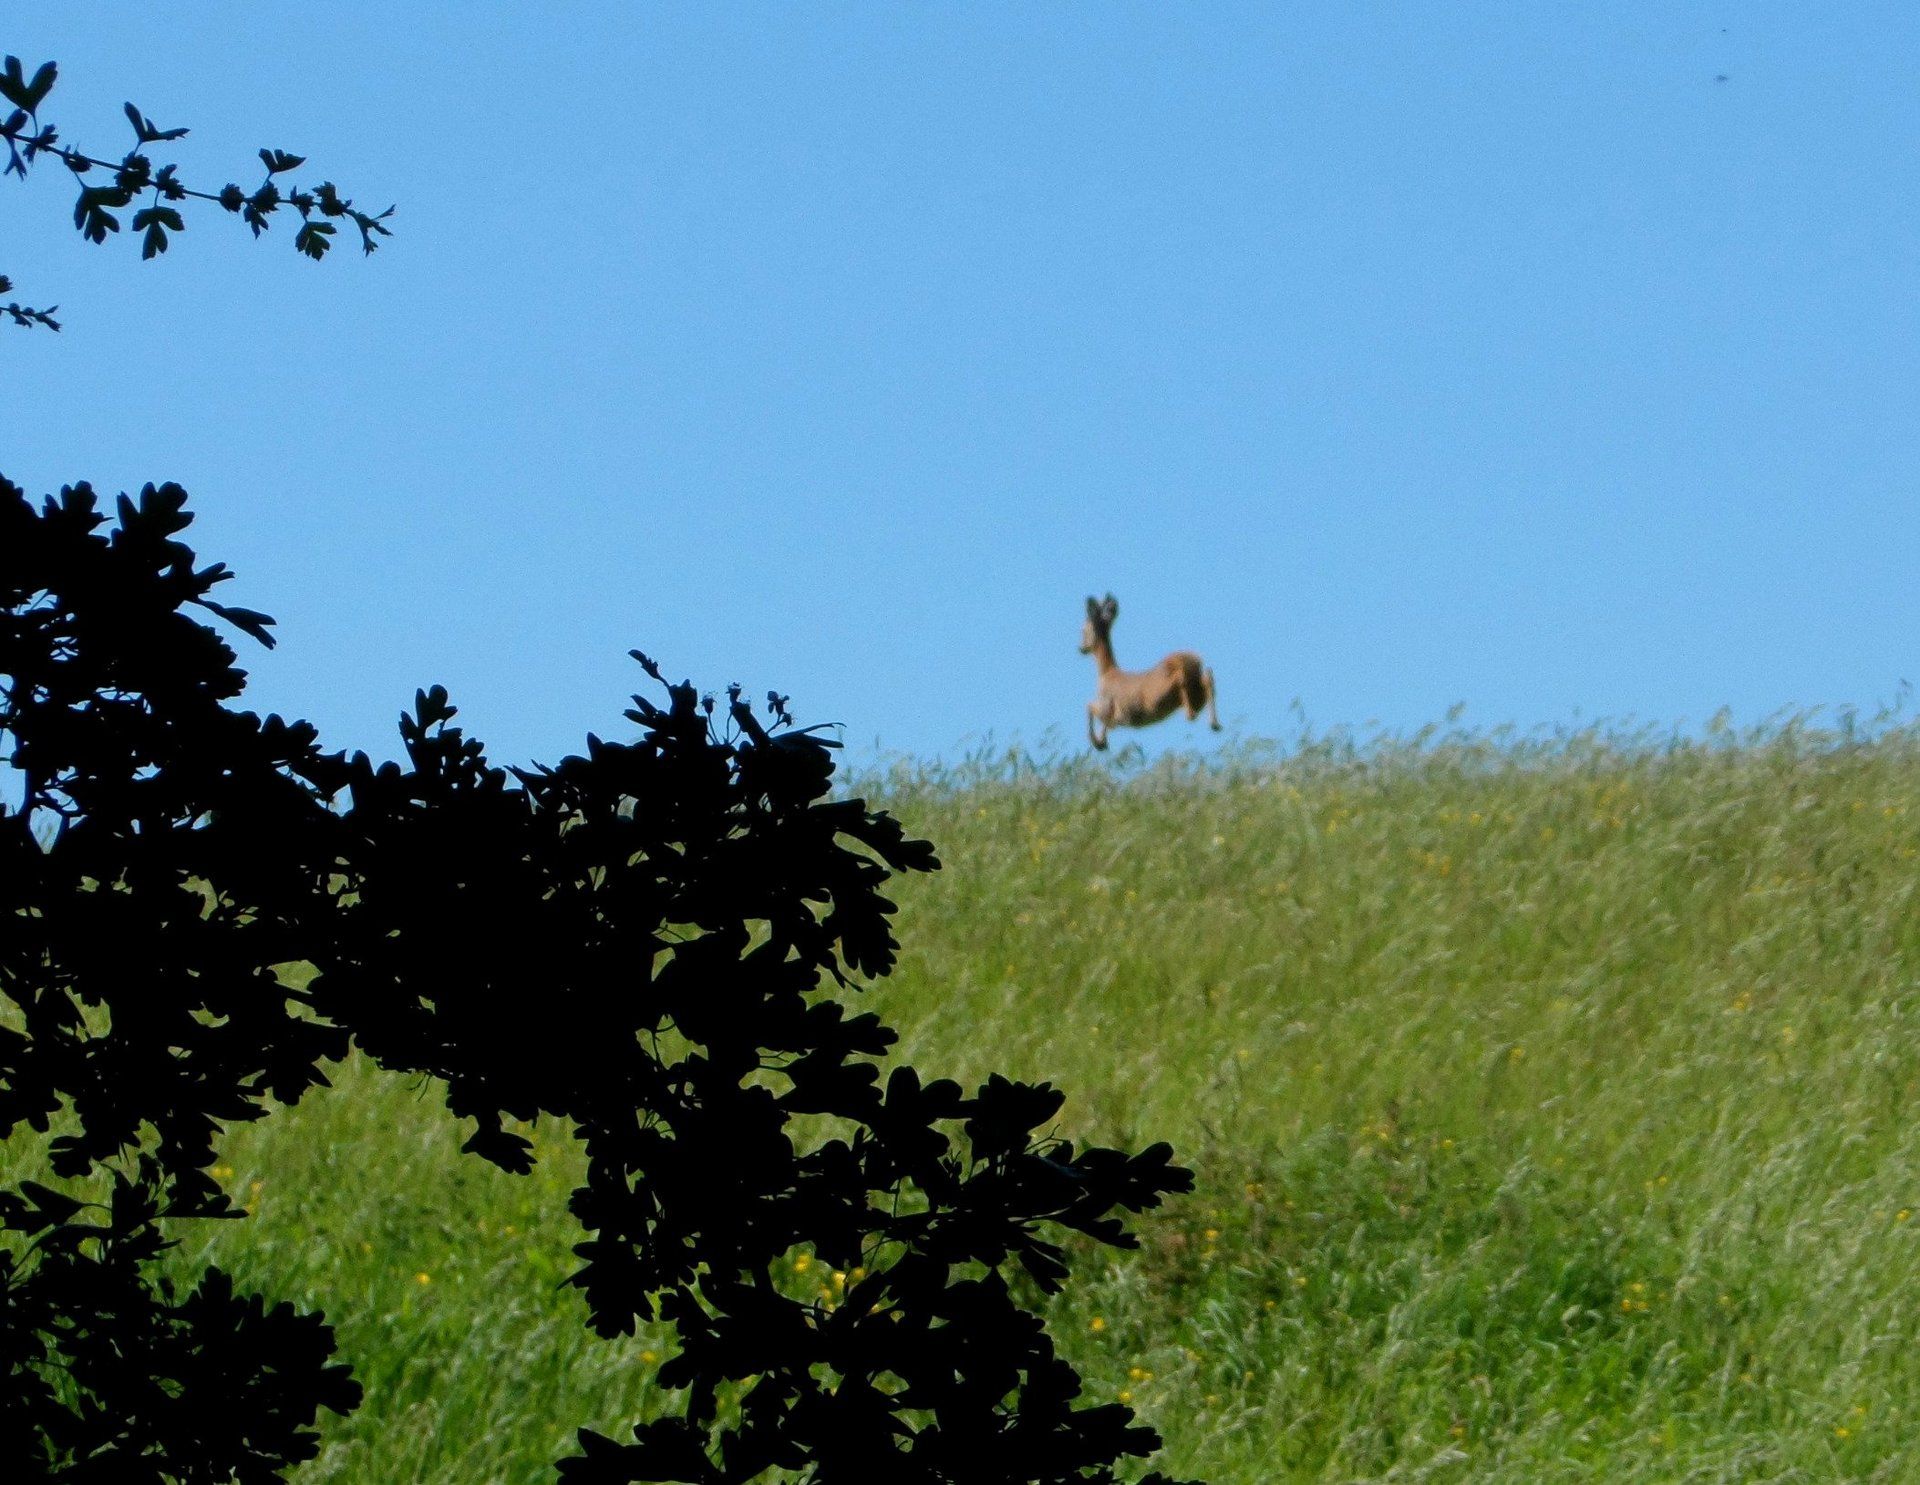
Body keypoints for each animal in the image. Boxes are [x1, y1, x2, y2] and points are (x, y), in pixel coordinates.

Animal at [1079, 593, 1221, 751]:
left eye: (1083, 630)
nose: (1081, 648)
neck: (1106, 673)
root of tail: (1195, 660)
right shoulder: (1113, 718)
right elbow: (1105, 724)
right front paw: (1102, 743)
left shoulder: (1107, 705)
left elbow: (1088, 705)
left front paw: (1097, 743)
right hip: (1196, 693)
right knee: (1207, 680)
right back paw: (1215, 724)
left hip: (1161, 691)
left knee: (1184, 683)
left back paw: (1193, 714)